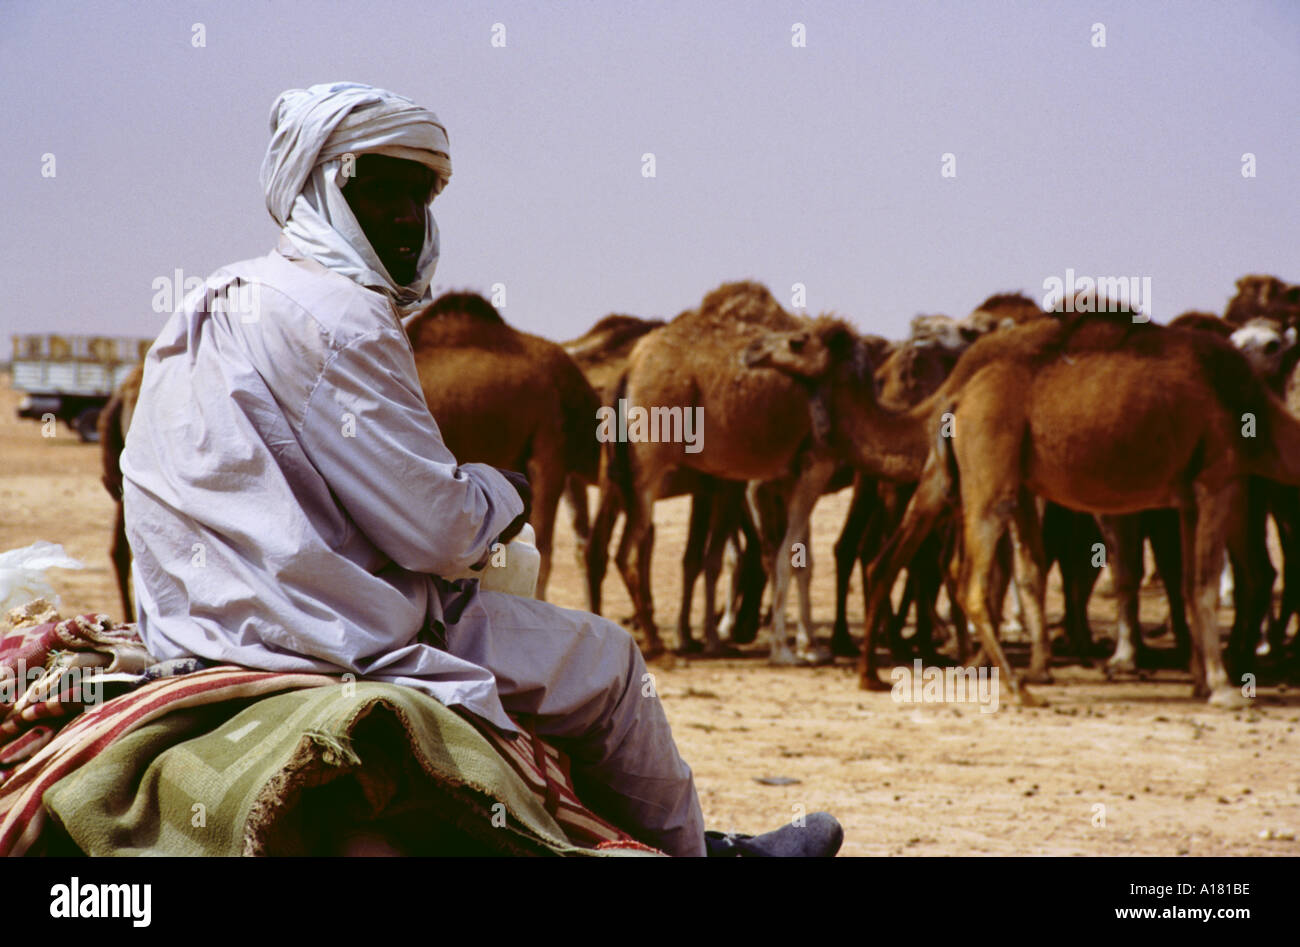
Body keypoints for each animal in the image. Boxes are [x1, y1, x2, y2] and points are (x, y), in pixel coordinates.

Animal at [748, 299, 1300, 707]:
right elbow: (1197, 585)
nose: (753, 349)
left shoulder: (1194, 490)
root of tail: (958, 398)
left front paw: (1206, 682)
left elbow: (1187, 582)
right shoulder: (1216, 478)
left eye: (797, 341)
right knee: (952, 574)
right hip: (986, 474)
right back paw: (1013, 684)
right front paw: (1223, 689)